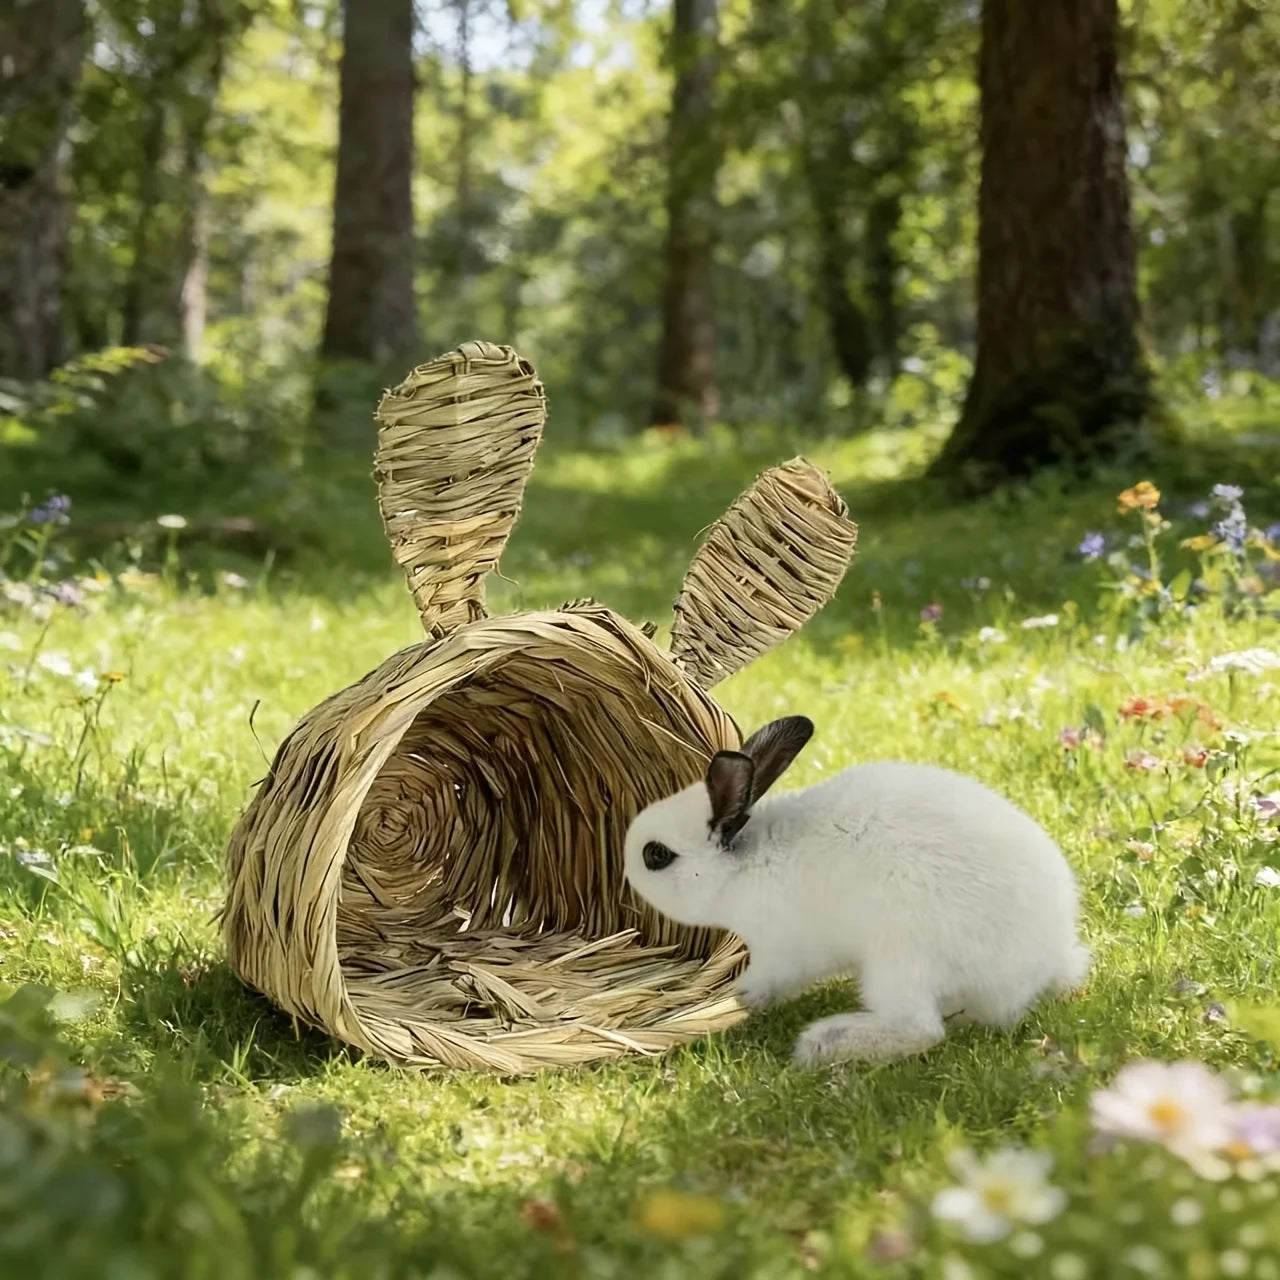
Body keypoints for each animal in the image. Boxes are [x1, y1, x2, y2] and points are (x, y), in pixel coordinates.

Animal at [623, 715, 1091, 1067]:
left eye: (656, 855)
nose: (625, 875)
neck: (743, 865)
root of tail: (1045, 963)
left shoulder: (782, 950)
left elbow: (769, 978)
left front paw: (744, 998)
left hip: (900, 958)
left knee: (920, 1029)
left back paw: (820, 1044)